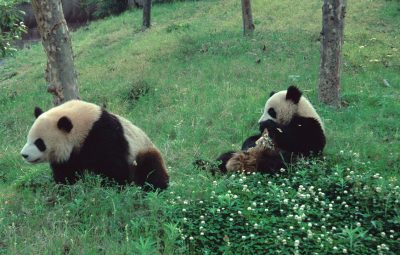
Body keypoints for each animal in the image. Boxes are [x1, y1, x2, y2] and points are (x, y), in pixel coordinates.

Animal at [20, 99, 169, 189]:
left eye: (39, 143)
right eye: (28, 138)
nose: (24, 155)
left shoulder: (102, 134)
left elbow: (114, 165)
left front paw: (113, 187)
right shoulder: (71, 155)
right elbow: (66, 172)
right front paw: (66, 188)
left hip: (142, 148)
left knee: (150, 164)